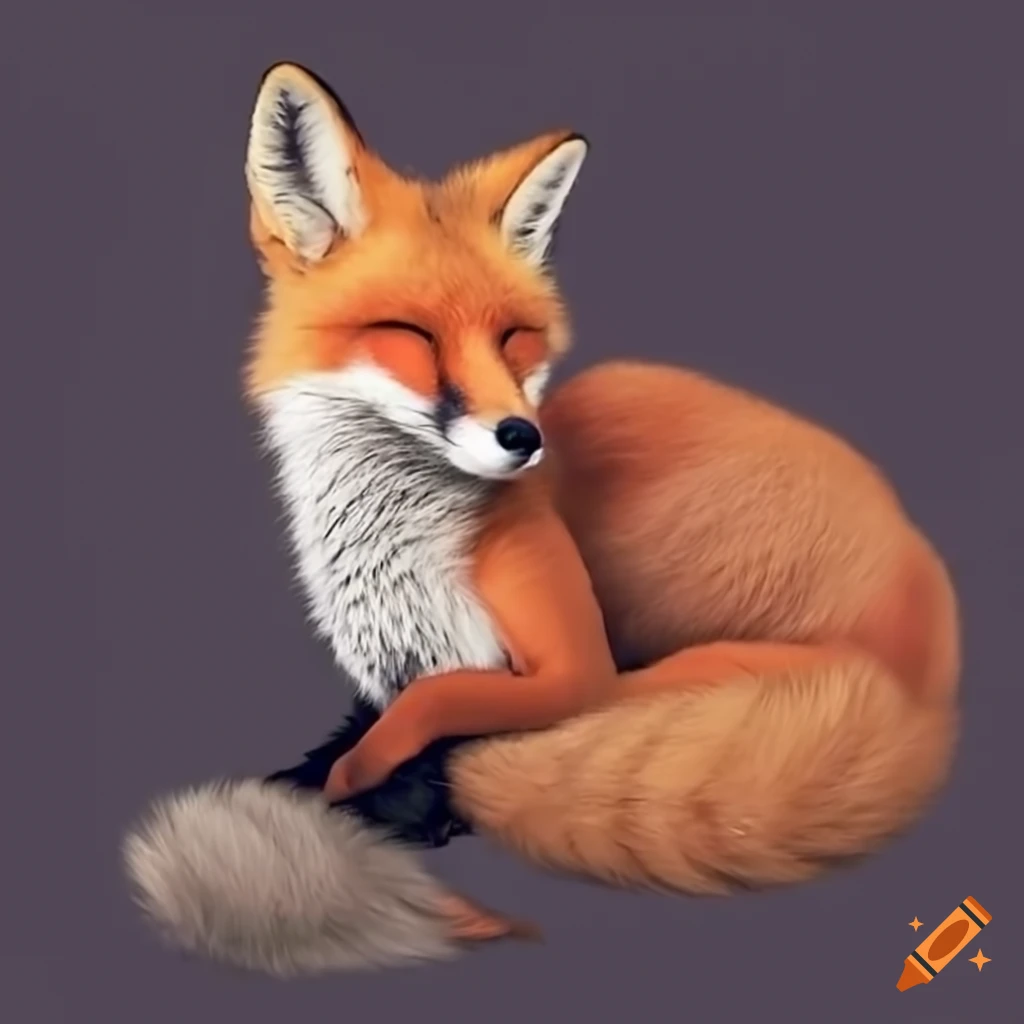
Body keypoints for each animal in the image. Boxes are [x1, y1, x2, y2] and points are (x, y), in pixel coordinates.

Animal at [122, 61, 959, 977]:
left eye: (513, 337)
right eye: (412, 334)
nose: (524, 438)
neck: (400, 556)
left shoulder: (575, 672)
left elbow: (434, 708)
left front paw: (363, 790)